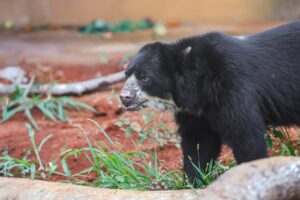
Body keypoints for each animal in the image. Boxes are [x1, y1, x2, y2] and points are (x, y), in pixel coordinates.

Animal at [119, 19, 300, 183]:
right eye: (126, 75)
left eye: (145, 77)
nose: (124, 97)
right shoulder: (195, 112)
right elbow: (199, 143)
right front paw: (194, 181)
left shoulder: (233, 87)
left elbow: (246, 135)